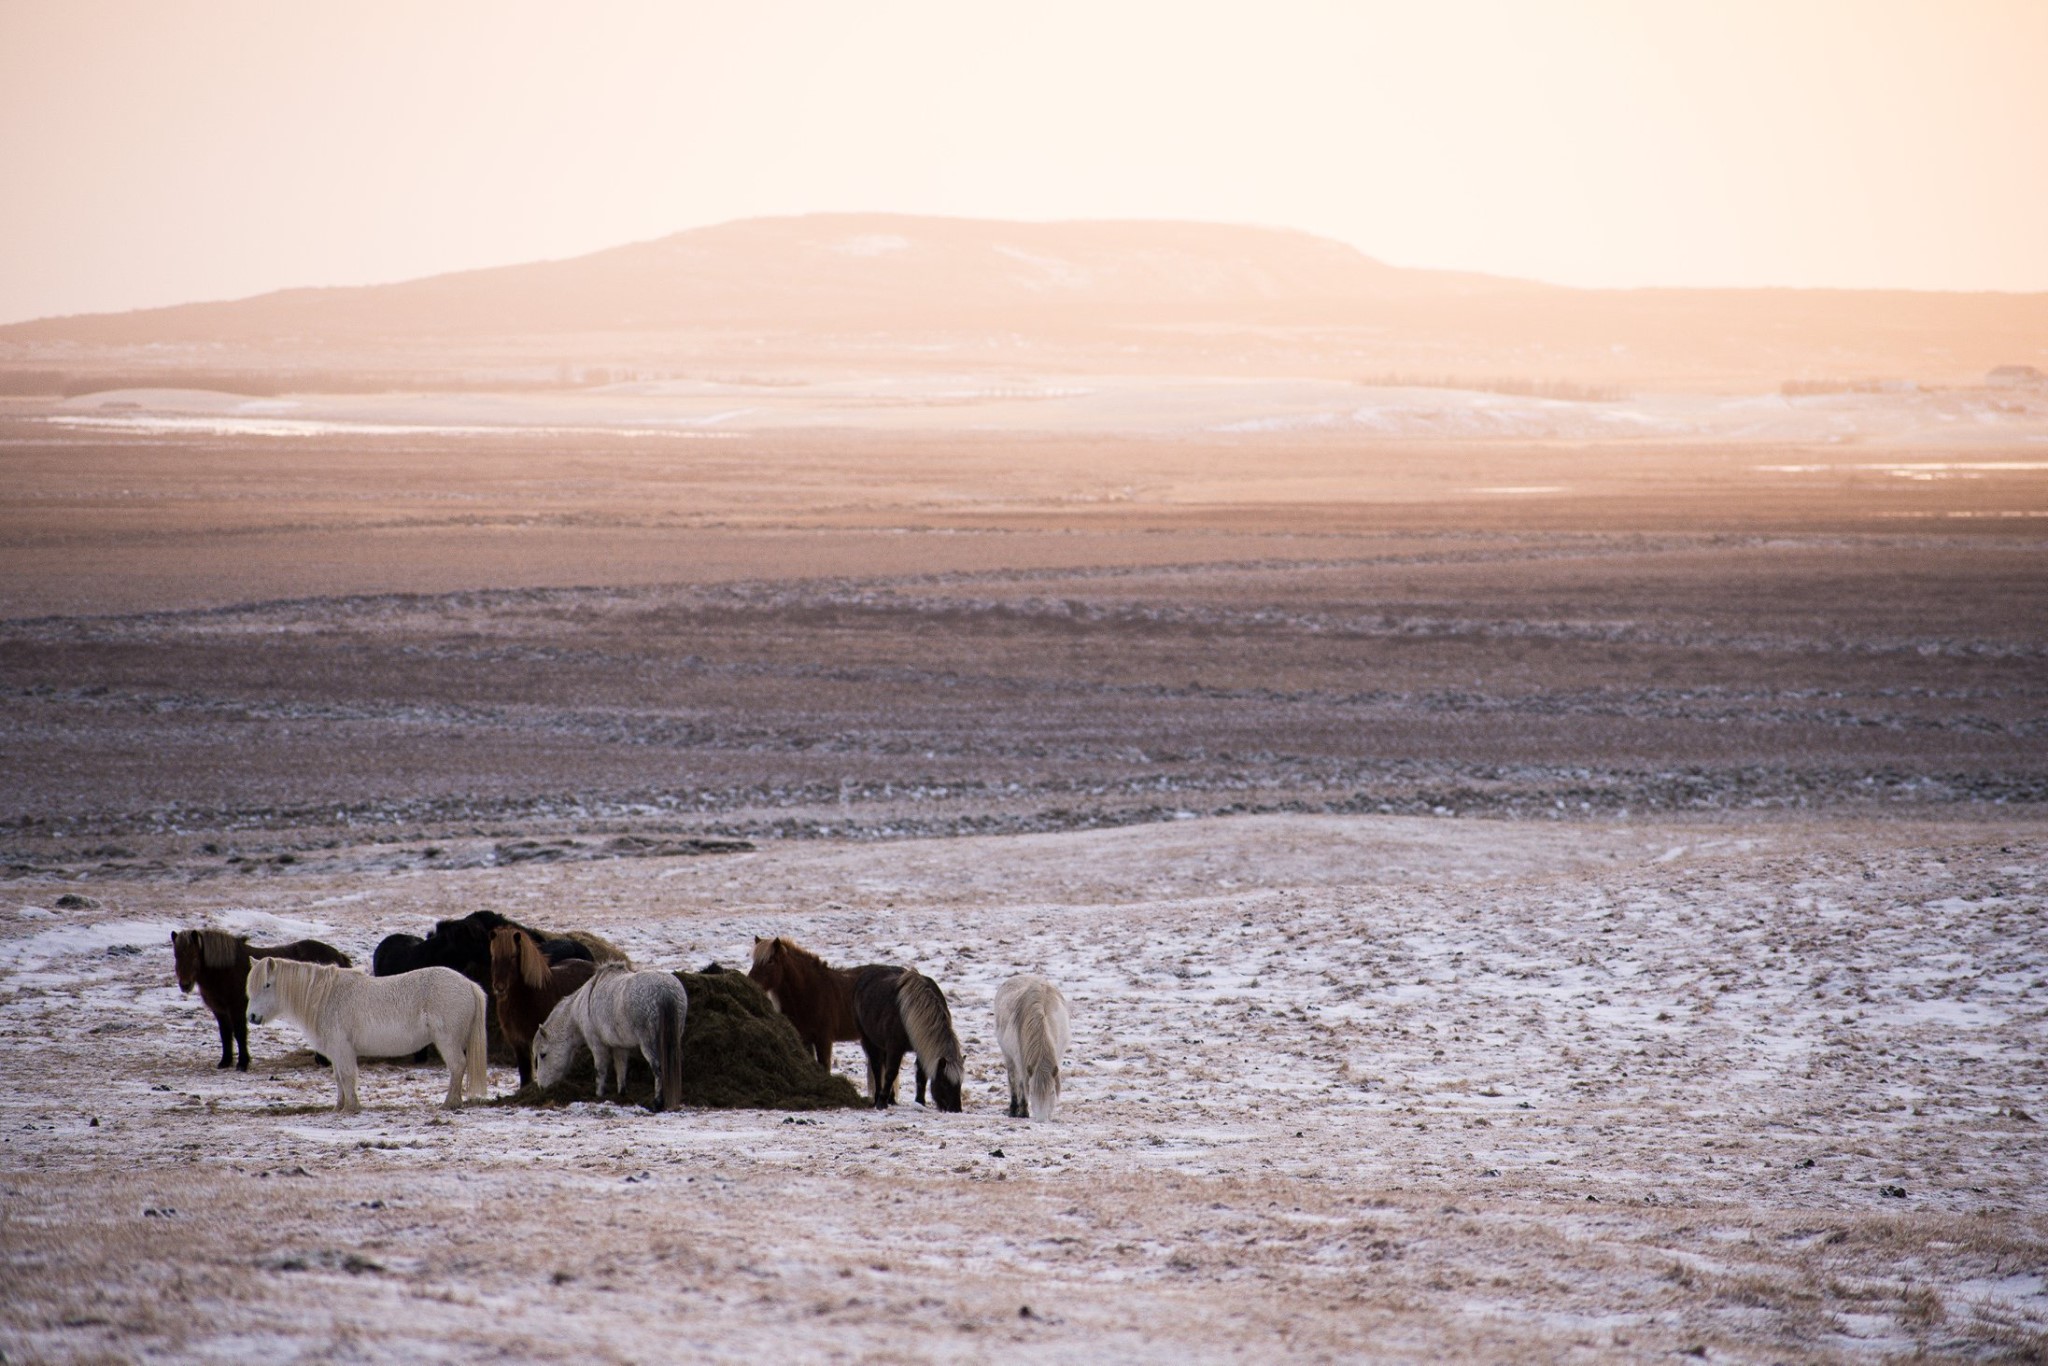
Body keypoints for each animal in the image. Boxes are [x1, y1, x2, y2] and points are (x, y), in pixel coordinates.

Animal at [169, 929, 352, 1071]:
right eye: (176, 956)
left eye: (194, 957)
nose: (185, 985)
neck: (227, 970)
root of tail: (338, 956)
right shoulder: (219, 1011)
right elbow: (225, 1034)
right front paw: (225, 1062)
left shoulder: (237, 1009)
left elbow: (240, 1034)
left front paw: (242, 1064)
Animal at [245, 959, 488, 1113]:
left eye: (267, 984)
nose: (252, 1017)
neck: (326, 997)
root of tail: (468, 984)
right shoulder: (336, 1052)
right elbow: (338, 1078)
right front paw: (339, 1107)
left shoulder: (343, 1049)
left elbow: (347, 1076)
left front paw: (351, 1108)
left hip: (447, 1041)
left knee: (457, 1066)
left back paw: (450, 1103)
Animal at [532, 962, 688, 1112]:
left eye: (543, 1055)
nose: (542, 1087)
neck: (580, 1006)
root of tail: (665, 991)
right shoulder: (620, 1047)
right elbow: (621, 1069)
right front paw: (621, 1094)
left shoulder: (597, 1045)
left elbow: (600, 1070)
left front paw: (598, 1095)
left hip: (648, 1044)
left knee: (658, 1069)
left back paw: (657, 1103)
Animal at [853, 965, 965, 1112]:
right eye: (944, 1083)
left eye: (960, 1083)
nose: (956, 1109)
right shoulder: (895, 1048)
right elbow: (891, 1073)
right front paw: (881, 1103)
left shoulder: (921, 1047)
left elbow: (921, 1076)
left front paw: (920, 1102)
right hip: (870, 1040)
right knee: (877, 1067)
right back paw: (878, 1097)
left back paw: (891, 1099)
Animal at [994, 975, 1070, 1120]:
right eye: (1032, 1091)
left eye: (1052, 1092)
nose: (1041, 1120)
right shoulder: (1020, 1059)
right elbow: (1022, 1084)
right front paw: (1023, 1112)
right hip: (1008, 1055)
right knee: (1013, 1080)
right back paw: (1013, 1109)